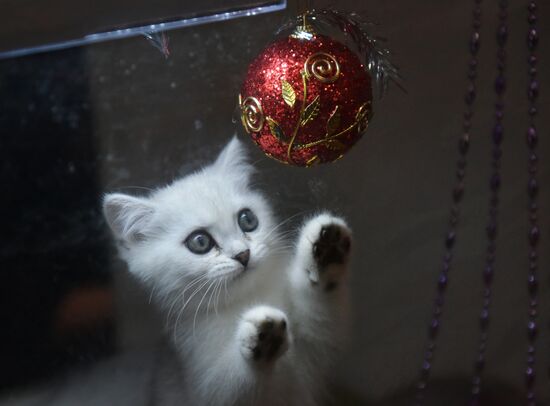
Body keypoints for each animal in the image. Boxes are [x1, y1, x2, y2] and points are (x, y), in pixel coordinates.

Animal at [103, 138, 354, 404]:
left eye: (247, 219)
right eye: (200, 242)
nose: (243, 254)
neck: (248, 298)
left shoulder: (315, 357)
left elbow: (323, 319)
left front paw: (324, 255)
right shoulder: (201, 378)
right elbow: (235, 385)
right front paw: (261, 338)